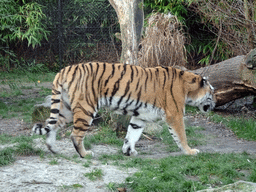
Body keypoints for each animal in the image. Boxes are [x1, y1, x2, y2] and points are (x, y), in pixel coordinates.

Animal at [32, 62, 216, 158]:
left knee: (52, 125)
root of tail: (64, 70)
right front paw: (190, 151)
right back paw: (85, 154)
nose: (215, 104)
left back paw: (53, 149)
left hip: (67, 109)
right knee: (75, 135)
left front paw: (129, 151)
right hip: (86, 108)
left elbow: (132, 134)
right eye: (212, 93)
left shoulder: (140, 117)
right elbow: (181, 136)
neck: (188, 88)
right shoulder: (175, 115)